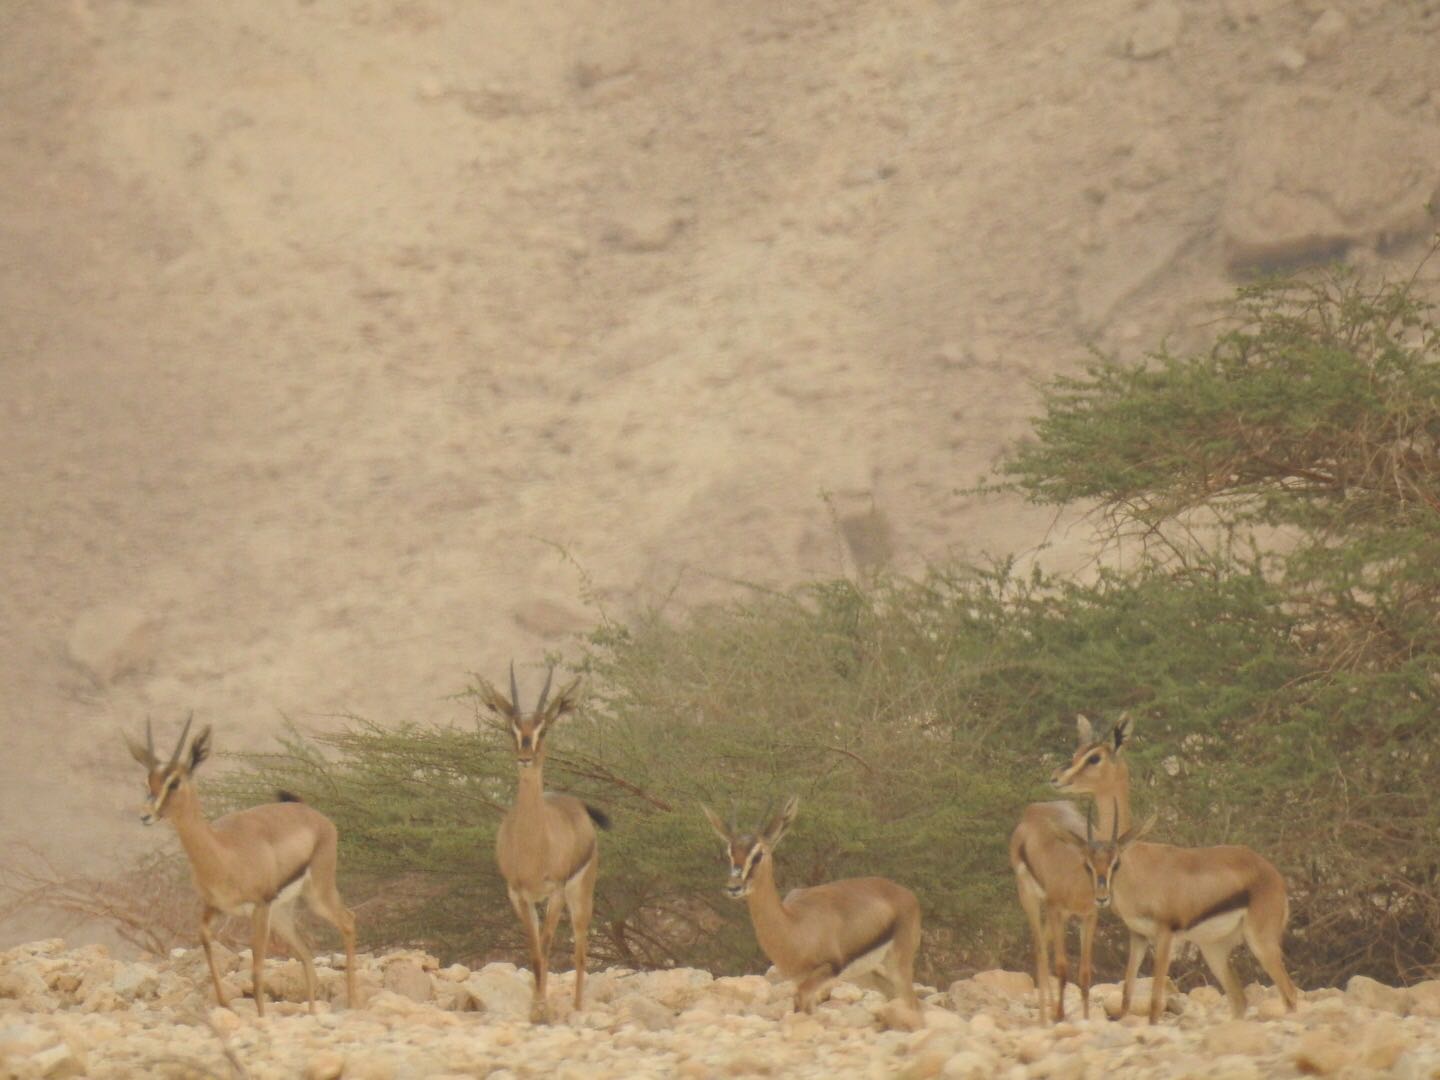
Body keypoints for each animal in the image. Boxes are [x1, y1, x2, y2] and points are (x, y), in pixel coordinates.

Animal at [125, 714, 358, 1017]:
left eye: (174, 782)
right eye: (148, 780)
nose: (145, 815)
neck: (224, 851)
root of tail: (314, 815)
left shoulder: (259, 907)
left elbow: (257, 968)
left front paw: (260, 1017)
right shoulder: (214, 906)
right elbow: (204, 939)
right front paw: (225, 1003)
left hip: (315, 894)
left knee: (348, 921)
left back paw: (352, 1003)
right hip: (282, 913)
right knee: (306, 954)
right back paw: (312, 1013)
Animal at [475, 663, 609, 1023]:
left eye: (543, 729)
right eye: (512, 729)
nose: (525, 756)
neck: (534, 845)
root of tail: (576, 804)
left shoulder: (556, 891)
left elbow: (548, 945)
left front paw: (544, 1009)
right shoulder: (518, 894)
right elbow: (534, 950)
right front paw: (536, 1008)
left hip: (580, 894)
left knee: (580, 947)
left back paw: (577, 1007)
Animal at [700, 796, 923, 1029]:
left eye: (758, 854)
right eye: (730, 852)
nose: (734, 887)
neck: (793, 925)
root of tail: (906, 893)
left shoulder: (823, 972)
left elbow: (800, 1000)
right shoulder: (801, 979)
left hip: (898, 964)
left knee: (914, 1004)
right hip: (866, 973)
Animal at [1009, 712, 1133, 1023]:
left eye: (1094, 757)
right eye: (1077, 752)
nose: (1056, 777)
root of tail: (1034, 810)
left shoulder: (1089, 915)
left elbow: (1085, 974)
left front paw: (1085, 1020)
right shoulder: (1057, 908)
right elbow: (1062, 967)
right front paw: (1057, 1017)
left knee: (1046, 949)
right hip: (1031, 899)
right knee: (1040, 951)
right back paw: (1044, 1017)